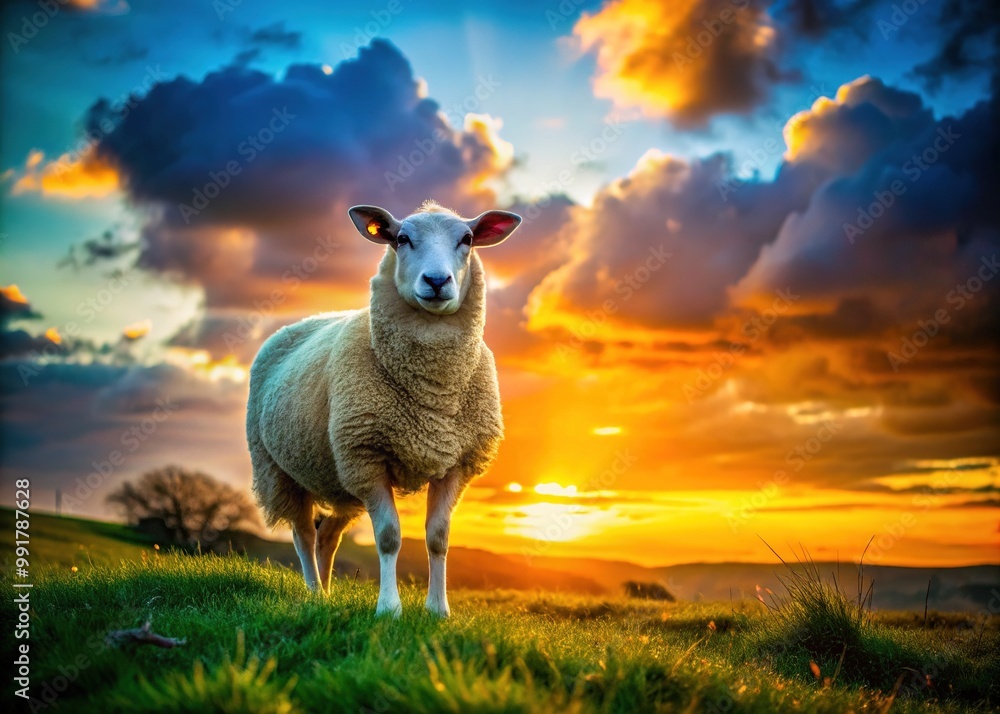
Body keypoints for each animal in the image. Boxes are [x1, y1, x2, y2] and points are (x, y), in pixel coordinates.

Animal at [246, 200, 521, 617]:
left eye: (467, 239)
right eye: (402, 238)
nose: (437, 281)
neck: (434, 390)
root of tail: (307, 319)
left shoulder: (455, 463)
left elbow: (439, 538)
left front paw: (438, 610)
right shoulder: (368, 456)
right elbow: (389, 536)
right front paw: (389, 609)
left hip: (338, 476)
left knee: (327, 536)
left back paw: (328, 594)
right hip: (281, 470)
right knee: (303, 533)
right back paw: (314, 592)